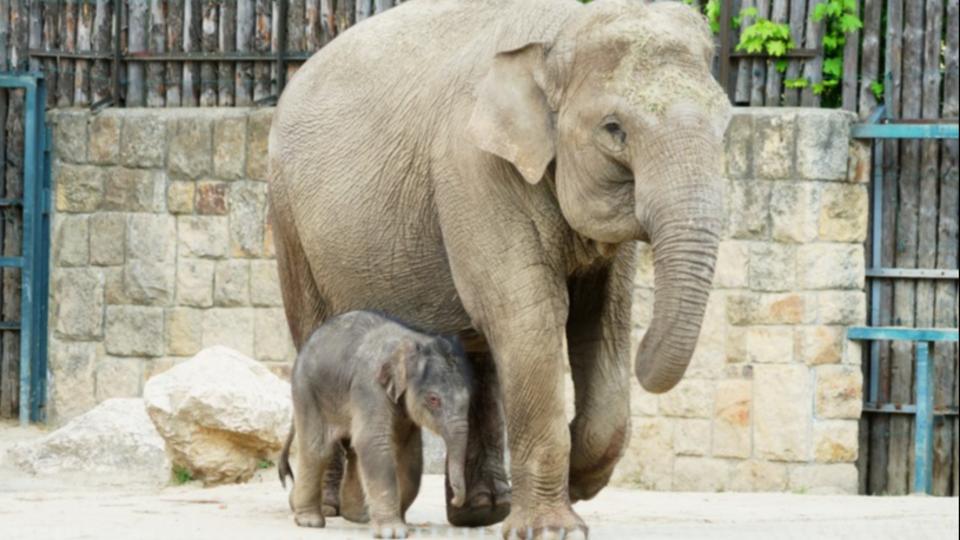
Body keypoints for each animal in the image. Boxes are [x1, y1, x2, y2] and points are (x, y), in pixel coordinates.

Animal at [278, 310, 472, 536]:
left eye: (469, 399)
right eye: (434, 400)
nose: (455, 500)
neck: (414, 340)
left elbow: (411, 454)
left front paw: (399, 522)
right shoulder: (369, 386)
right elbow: (373, 441)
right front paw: (393, 532)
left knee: (351, 449)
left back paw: (357, 516)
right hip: (307, 391)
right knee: (317, 450)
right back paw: (310, 521)